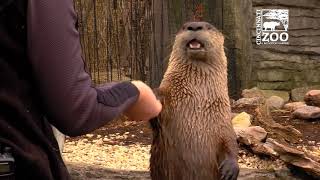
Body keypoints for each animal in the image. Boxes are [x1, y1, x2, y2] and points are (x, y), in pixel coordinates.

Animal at [151, 21, 239, 179]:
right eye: (184, 26)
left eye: (208, 27)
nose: (194, 26)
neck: (198, 102)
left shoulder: (223, 120)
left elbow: (231, 141)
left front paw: (231, 168)